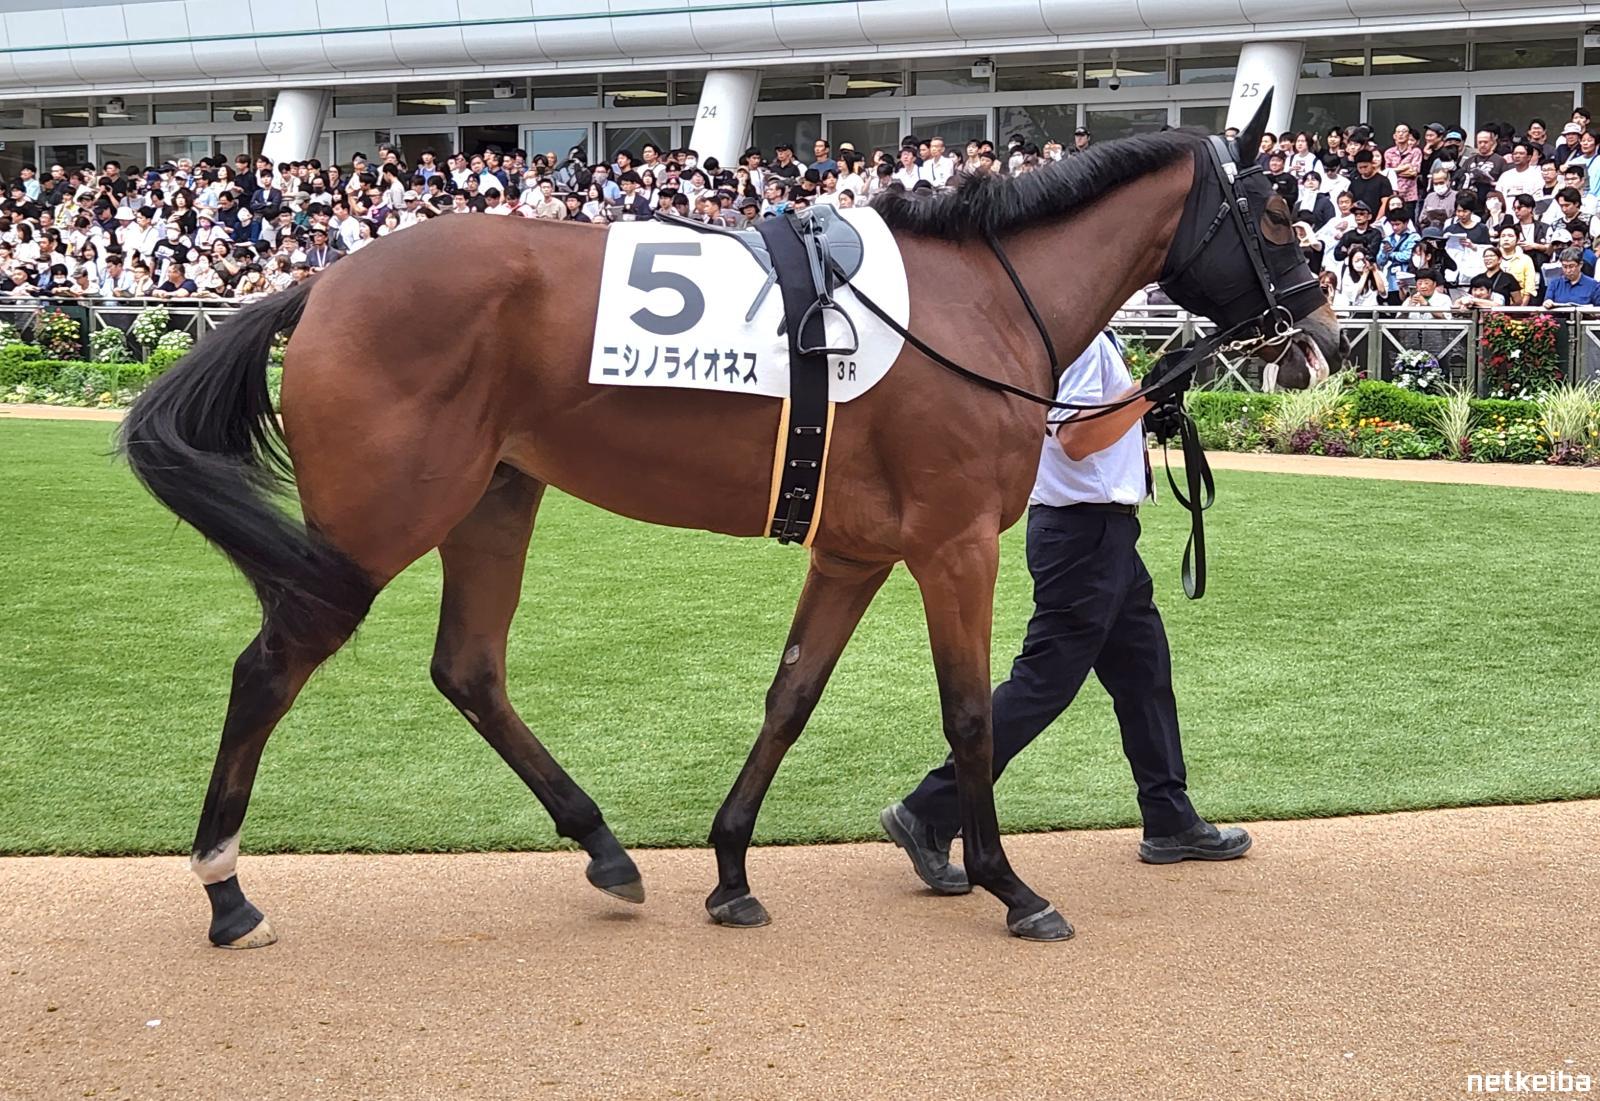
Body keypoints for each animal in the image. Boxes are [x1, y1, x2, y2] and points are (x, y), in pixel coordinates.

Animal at [118, 98, 1337, 947]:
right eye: (1280, 210)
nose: (1321, 326)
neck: (981, 302)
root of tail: (320, 284)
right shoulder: (953, 546)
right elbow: (970, 716)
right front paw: (1009, 884)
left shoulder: (853, 549)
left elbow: (791, 697)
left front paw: (733, 870)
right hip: (380, 523)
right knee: (269, 668)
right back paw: (227, 893)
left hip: (496, 497)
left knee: (468, 667)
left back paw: (607, 851)